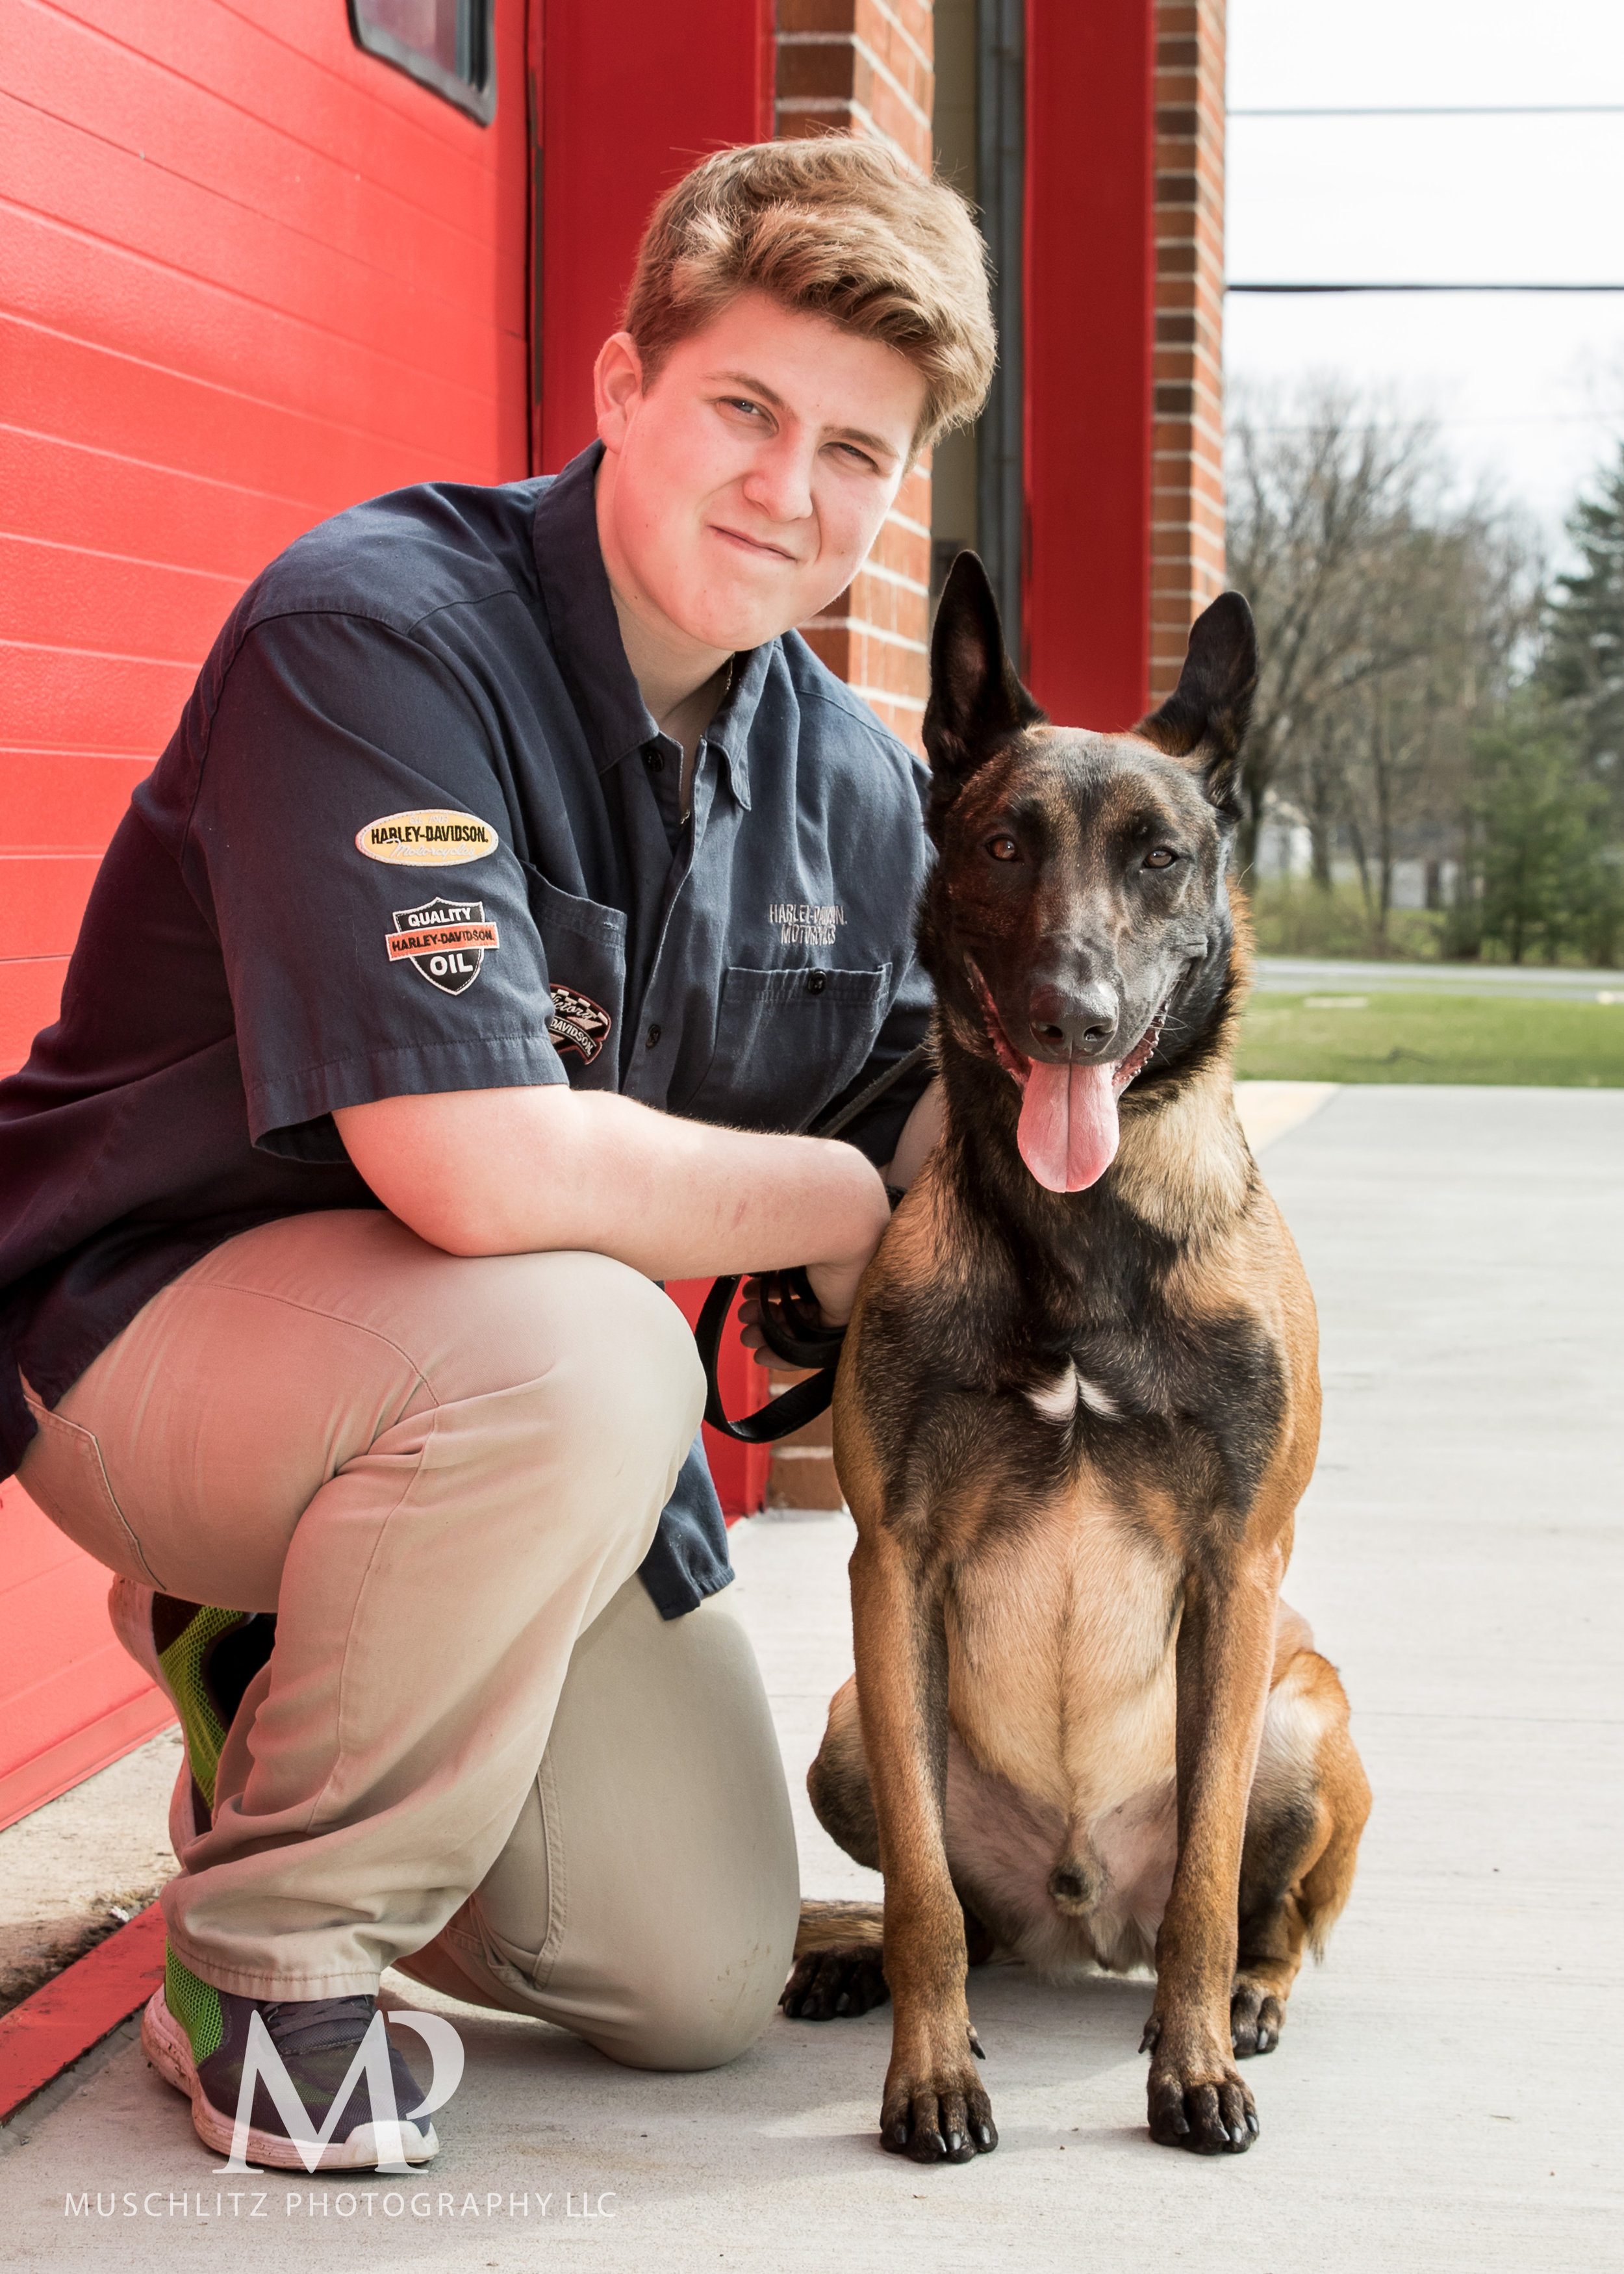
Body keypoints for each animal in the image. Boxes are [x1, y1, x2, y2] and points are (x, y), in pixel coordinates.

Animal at [778, 550, 1355, 2165]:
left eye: (1160, 858)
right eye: (1000, 843)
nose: (1071, 1018)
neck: (1080, 1233)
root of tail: (1081, 1919)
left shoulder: (1239, 1569)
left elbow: (1212, 1879)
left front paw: (1192, 2068)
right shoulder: (890, 1566)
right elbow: (922, 1897)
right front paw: (927, 2074)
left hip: (1300, 1720)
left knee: (1273, 1917)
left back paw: (1243, 2005)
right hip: (850, 1726)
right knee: (954, 1909)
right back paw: (848, 1953)